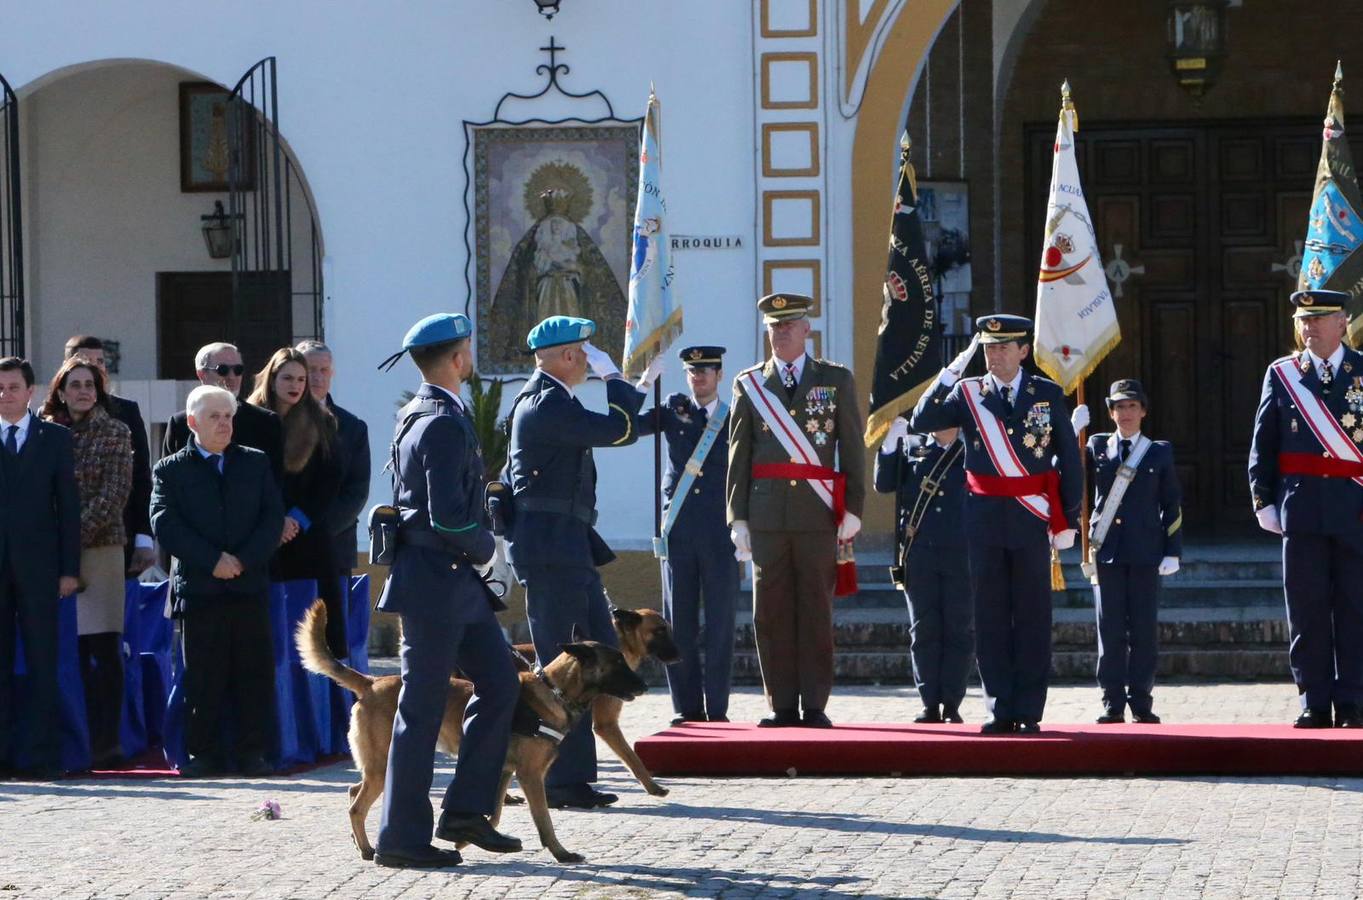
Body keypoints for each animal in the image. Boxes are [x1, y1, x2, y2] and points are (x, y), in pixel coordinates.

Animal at [302, 600, 648, 861]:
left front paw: (466, 838)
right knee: (356, 805)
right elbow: (544, 821)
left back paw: (362, 843)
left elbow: (493, 813)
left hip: (375, 767)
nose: (644, 686)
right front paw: (561, 853)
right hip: (381, 767)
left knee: (352, 793)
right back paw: (369, 849)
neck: (554, 692)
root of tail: (371, 682)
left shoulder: (503, 771)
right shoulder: (530, 776)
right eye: (617, 662)